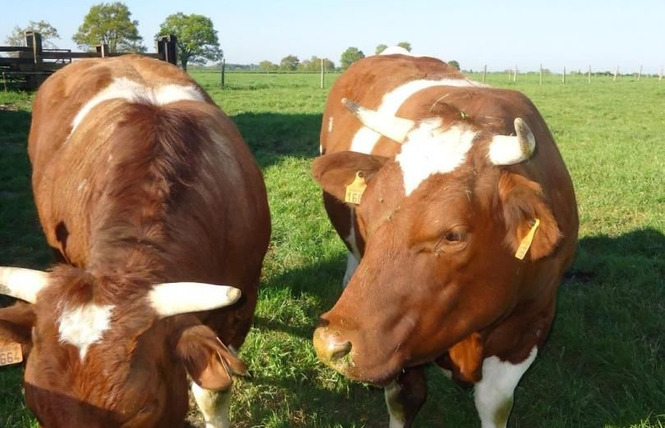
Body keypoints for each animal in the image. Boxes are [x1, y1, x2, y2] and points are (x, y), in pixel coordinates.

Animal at [312, 51, 576, 426]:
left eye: (453, 235)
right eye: (367, 211)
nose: (332, 343)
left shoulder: (532, 320)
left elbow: (495, 405)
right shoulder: (400, 343)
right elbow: (404, 399)